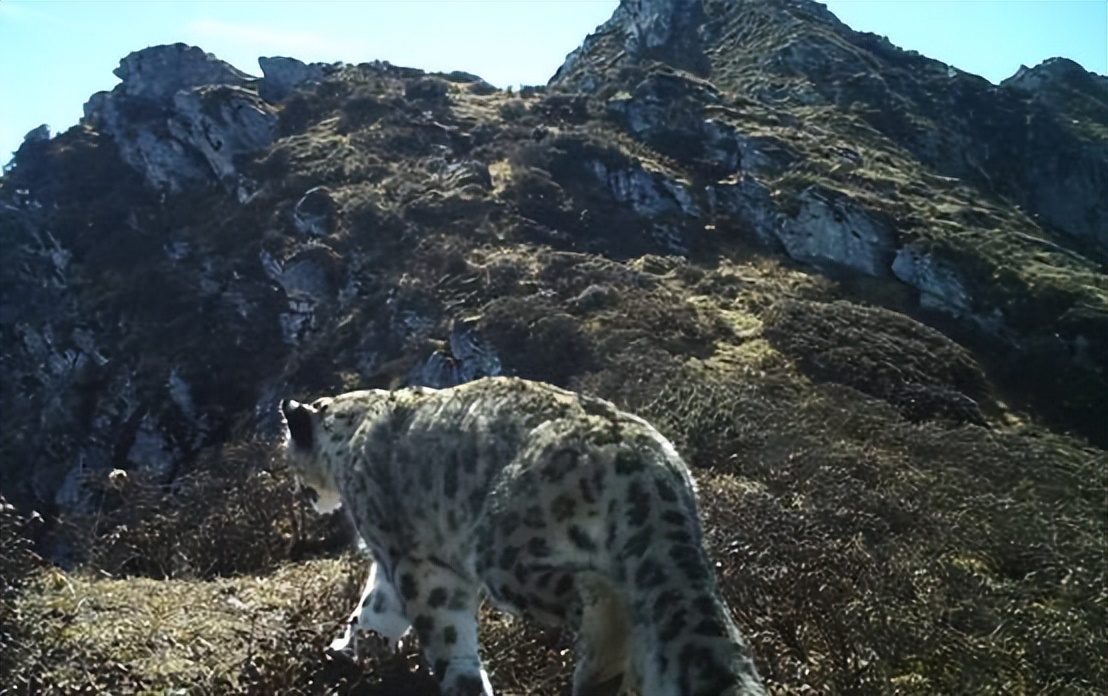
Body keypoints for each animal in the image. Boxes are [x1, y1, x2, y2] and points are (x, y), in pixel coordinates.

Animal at [281, 376, 762, 691]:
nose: (301, 494)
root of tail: (645, 462)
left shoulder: (417, 561)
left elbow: (442, 631)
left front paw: (459, 680)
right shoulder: (391, 560)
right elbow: (374, 606)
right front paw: (347, 648)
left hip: (504, 552)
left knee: (596, 598)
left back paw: (599, 672)